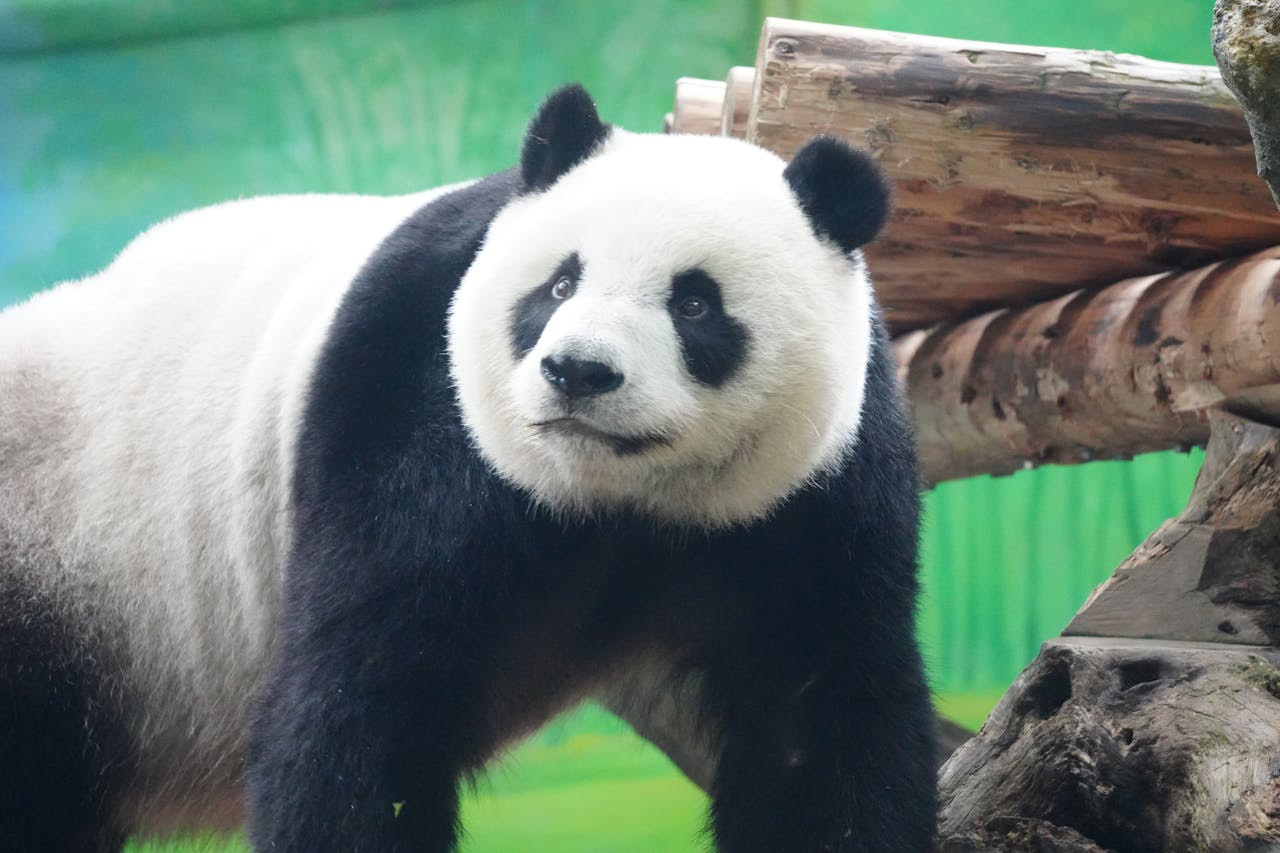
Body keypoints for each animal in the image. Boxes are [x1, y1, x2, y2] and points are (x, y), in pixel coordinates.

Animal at [0, 85, 935, 851]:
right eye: (559, 286)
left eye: (695, 303)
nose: (579, 372)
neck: (617, 499)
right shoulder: (417, 400)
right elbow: (362, 704)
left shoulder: (815, 489)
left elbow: (815, 719)